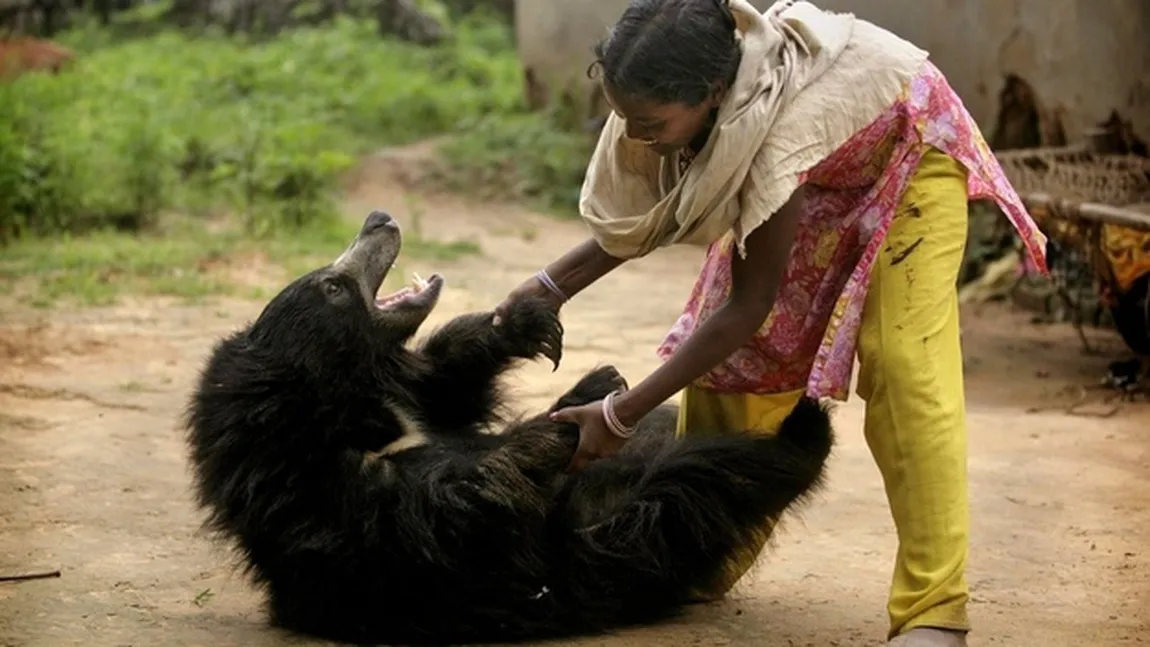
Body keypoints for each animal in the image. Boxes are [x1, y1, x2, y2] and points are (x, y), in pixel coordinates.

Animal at [181, 211, 837, 643]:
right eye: (334, 286)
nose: (379, 218)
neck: (353, 403)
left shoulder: (413, 407)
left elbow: (454, 392)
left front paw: (530, 328)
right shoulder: (349, 520)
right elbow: (458, 506)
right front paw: (564, 427)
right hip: (619, 539)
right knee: (709, 481)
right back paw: (808, 426)